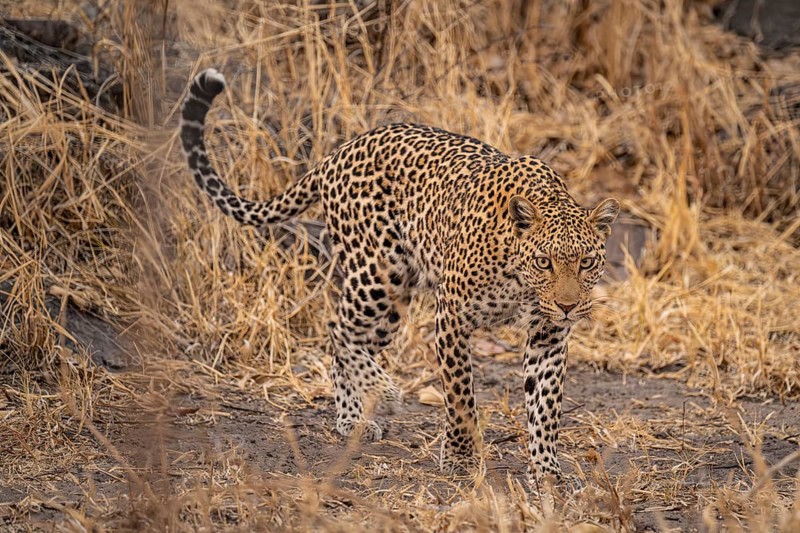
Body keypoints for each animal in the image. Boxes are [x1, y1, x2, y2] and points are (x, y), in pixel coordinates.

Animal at [180, 68, 620, 484]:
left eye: (586, 262)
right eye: (544, 262)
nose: (568, 305)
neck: (522, 283)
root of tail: (336, 154)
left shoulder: (549, 336)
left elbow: (546, 407)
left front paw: (547, 471)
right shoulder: (452, 316)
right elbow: (460, 394)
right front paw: (460, 457)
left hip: (390, 302)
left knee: (349, 342)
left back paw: (353, 415)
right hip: (377, 274)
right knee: (337, 329)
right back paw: (383, 392)